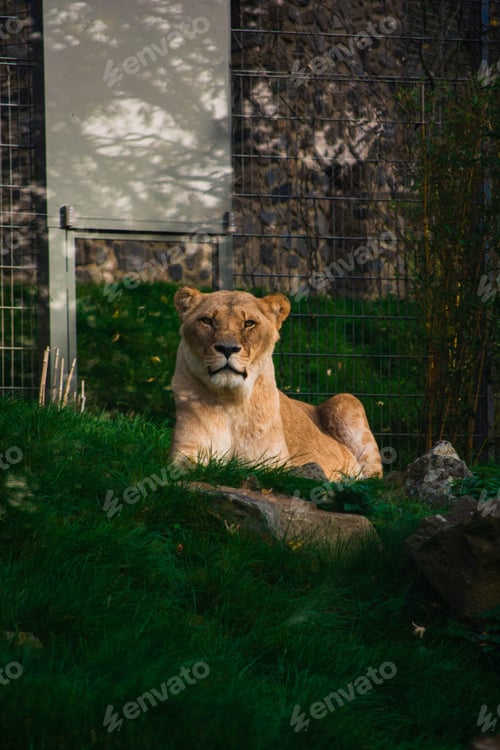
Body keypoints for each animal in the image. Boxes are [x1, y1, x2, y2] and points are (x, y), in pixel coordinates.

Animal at [169, 286, 383, 480]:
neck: (231, 400)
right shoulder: (186, 452)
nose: (227, 348)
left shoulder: (272, 462)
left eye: (249, 323)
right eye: (207, 321)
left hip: (346, 401)